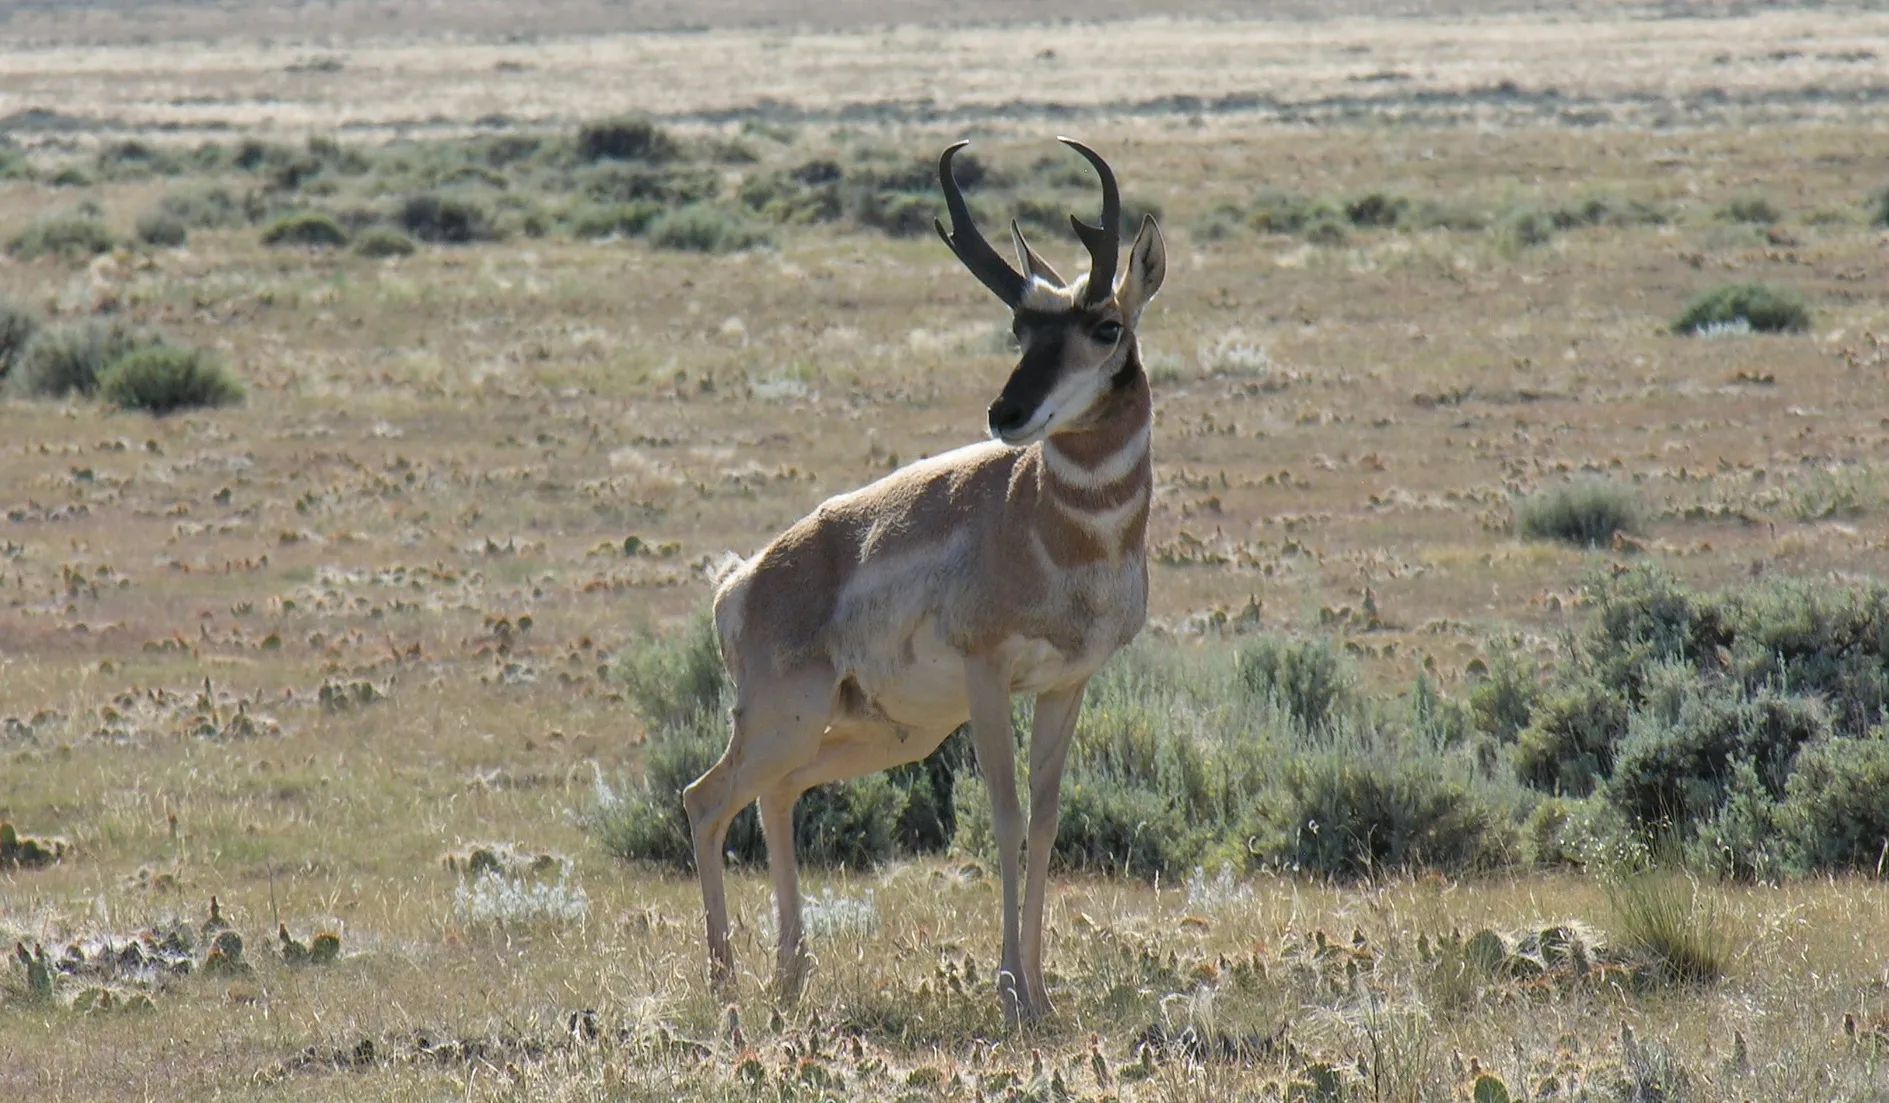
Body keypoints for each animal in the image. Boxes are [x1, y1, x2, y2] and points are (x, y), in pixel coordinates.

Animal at [691, 139, 1163, 1027]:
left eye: (1104, 325)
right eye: (1019, 326)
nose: (1007, 413)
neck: (1051, 524)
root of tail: (745, 575)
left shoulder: (1068, 685)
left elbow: (1046, 816)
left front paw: (1044, 995)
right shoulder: (987, 678)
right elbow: (1004, 814)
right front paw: (1011, 992)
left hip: (879, 733)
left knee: (776, 793)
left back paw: (788, 976)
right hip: (787, 717)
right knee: (707, 798)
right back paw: (724, 987)